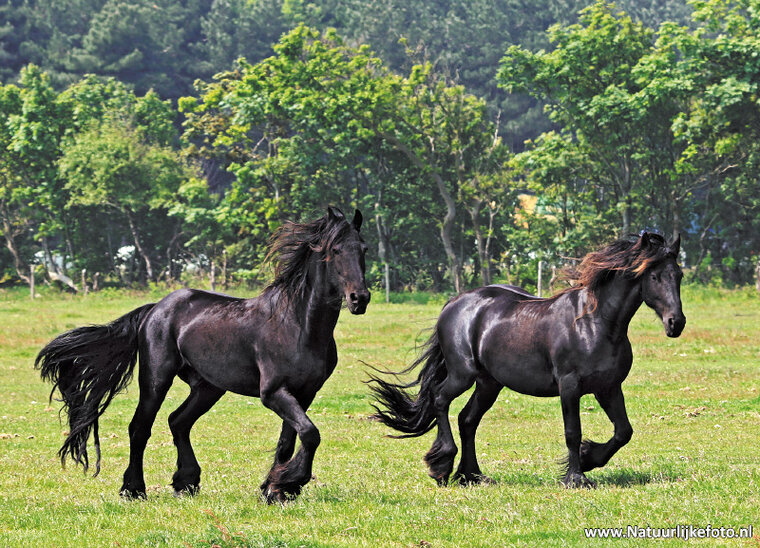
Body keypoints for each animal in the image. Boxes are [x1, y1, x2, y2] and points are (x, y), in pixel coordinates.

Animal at [36, 206, 370, 503]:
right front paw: (287, 483)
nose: (360, 299)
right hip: (156, 380)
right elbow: (310, 434)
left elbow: (289, 441)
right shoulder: (274, 393)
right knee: (140, 428)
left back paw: (185, 482)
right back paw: (134, 490)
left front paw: (275, 488)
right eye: (336, 250)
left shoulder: (304, 393)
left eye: (363, 248)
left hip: (209, 387)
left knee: (178, 421)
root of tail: (155, 309)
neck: (297, 325)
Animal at [369, 232, 685, 488]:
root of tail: (455, 303)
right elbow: (573, 431)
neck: (595, 323)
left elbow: (623, 432)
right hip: (462, 374)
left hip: (489, 383)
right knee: (440, 400)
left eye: (679, 275)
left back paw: (472, 475)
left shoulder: (608, 387)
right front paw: (576, 477)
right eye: (654, 277)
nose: (676, 323)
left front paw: (588, 458)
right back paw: (442, 466)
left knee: (467, 420)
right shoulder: (569, 387)